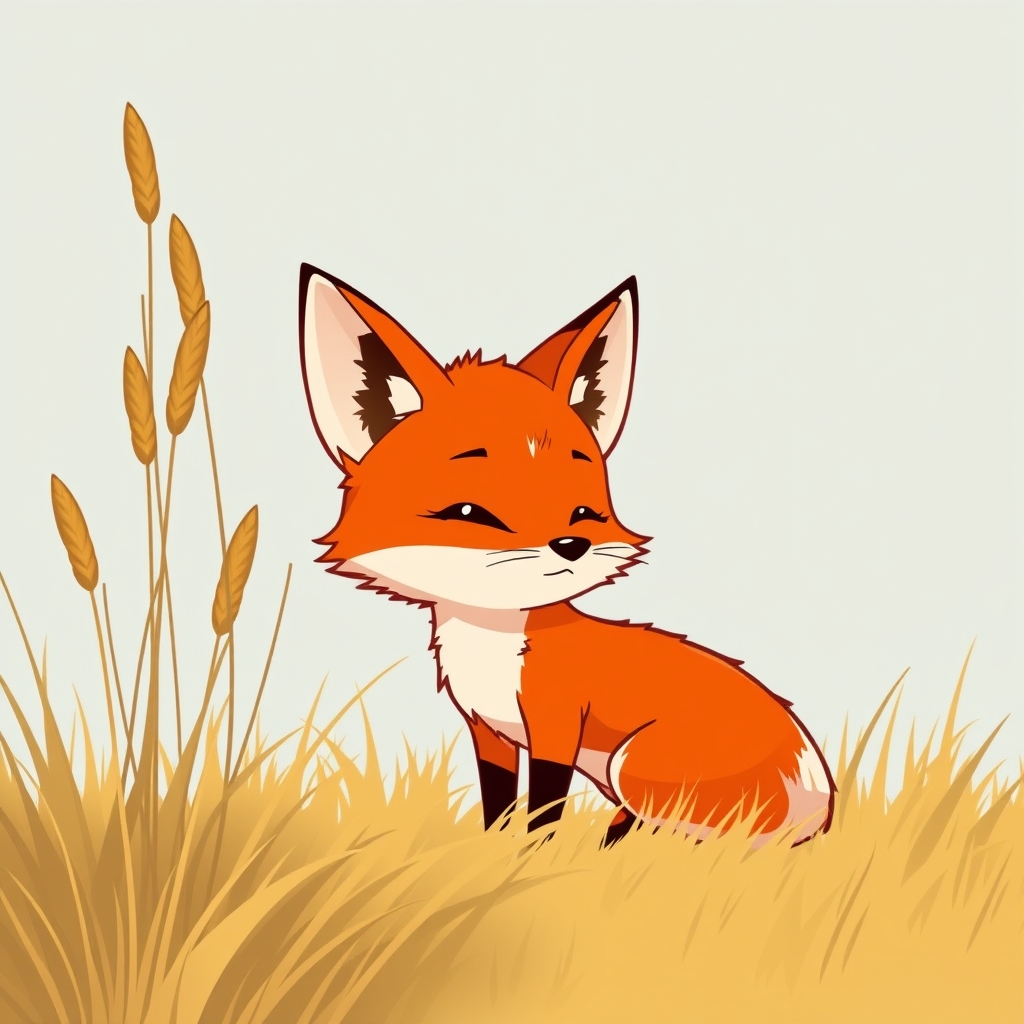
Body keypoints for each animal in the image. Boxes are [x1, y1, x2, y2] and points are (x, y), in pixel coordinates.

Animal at [298, 264, 835, 847]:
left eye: (582, 514)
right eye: (470, 512)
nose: (570, 546)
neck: (493, 645)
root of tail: (821, 794)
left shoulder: (556, 725)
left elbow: (543, 809)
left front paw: (534, 857)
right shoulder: (488, 731)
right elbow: (498, 803)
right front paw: (490, 853)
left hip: (631, 767)